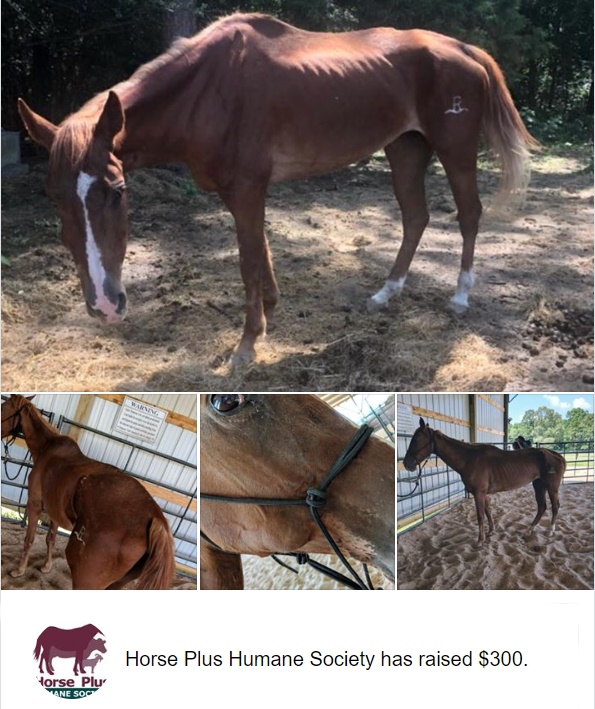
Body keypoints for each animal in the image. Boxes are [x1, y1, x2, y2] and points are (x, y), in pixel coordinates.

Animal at [1, 395, 175, 589]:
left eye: (2, 407)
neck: (47, 448)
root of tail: (157, 520)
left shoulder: (34, 503)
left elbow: (29, 539)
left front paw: (19, 570)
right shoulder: (55, 511)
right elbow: (50, 538)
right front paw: (47, 566)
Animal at [17, 12, 537, 365]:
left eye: (118, 190)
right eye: (54, 198)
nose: (105, 306)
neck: (206, 88)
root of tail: (464, 49)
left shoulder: (247, 189)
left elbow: (248, 260)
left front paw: (248, 343)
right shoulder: (244, 193)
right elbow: (260, 249)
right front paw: (269, 309)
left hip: (455, 150)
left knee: (468, 214)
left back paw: (461, 298)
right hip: (406, 149)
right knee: (415, 217)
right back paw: (386, 293)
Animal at [403, 417, 565, 544]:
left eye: (417, 439)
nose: (406, 463)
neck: (469, 459)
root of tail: (557, 456)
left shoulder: (479, 493)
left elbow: (480, 516)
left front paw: (480, 540)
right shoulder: (483, 493)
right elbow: (488, 511)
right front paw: (490, 532)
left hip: (552, 487)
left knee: (555, 506)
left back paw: (550, 531)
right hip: (539, 485)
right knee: (542, 507)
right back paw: (529, 531)